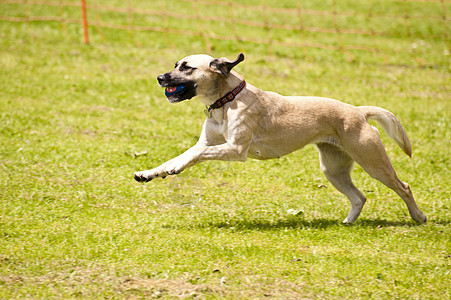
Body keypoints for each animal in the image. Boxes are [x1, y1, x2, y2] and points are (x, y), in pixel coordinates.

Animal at [134, 52, 428, 224]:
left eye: (187, 68)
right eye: (175, 65)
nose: (159, 78)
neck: (226, 100)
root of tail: (358, 112)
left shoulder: (235, 149)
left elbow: (192, 156)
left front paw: (174, 168)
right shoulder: (207, 143)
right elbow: (181, 155)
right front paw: (151, 173)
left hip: (373, 162)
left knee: (404, 187)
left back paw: (418, 217)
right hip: (333, 169)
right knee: (359, 197)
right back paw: (348, 222)